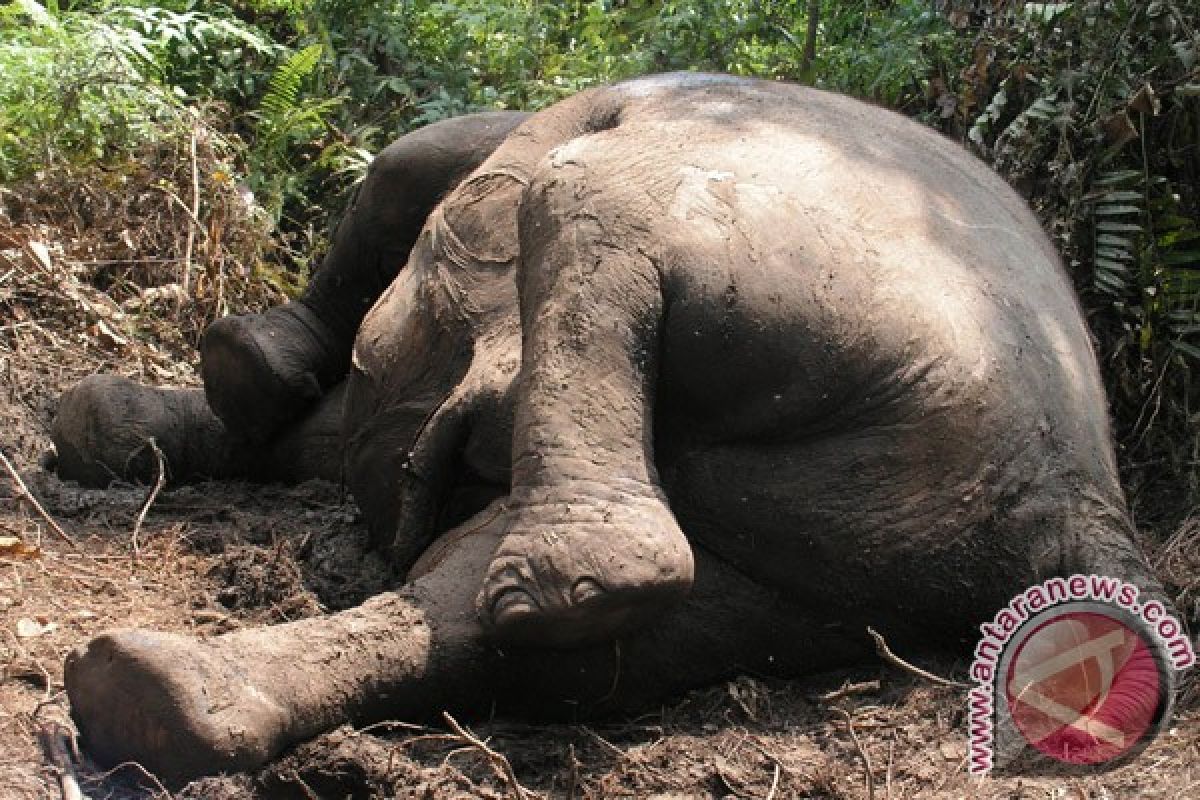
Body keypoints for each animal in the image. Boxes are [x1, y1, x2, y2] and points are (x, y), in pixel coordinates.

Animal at [51, 71, 1166, 786]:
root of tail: (1077, 499)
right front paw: (105, 425)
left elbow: (417, 160)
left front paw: (235, 373)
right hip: (865, 547)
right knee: (524, 635)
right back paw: (153, 699)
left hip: (844, 308)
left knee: (586, 197)